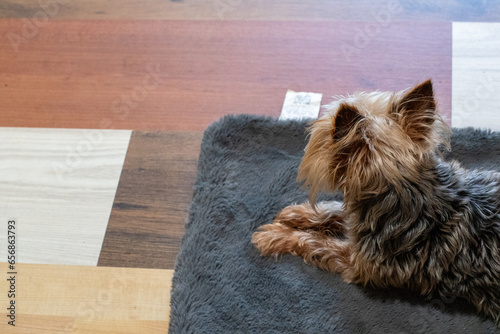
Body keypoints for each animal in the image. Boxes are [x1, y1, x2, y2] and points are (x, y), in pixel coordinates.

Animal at [254, 81, 500, 326]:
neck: (411, 191)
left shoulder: (358, 264)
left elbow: (314, 242)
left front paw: (276, 235)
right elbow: (336, 211)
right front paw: (296, 213)